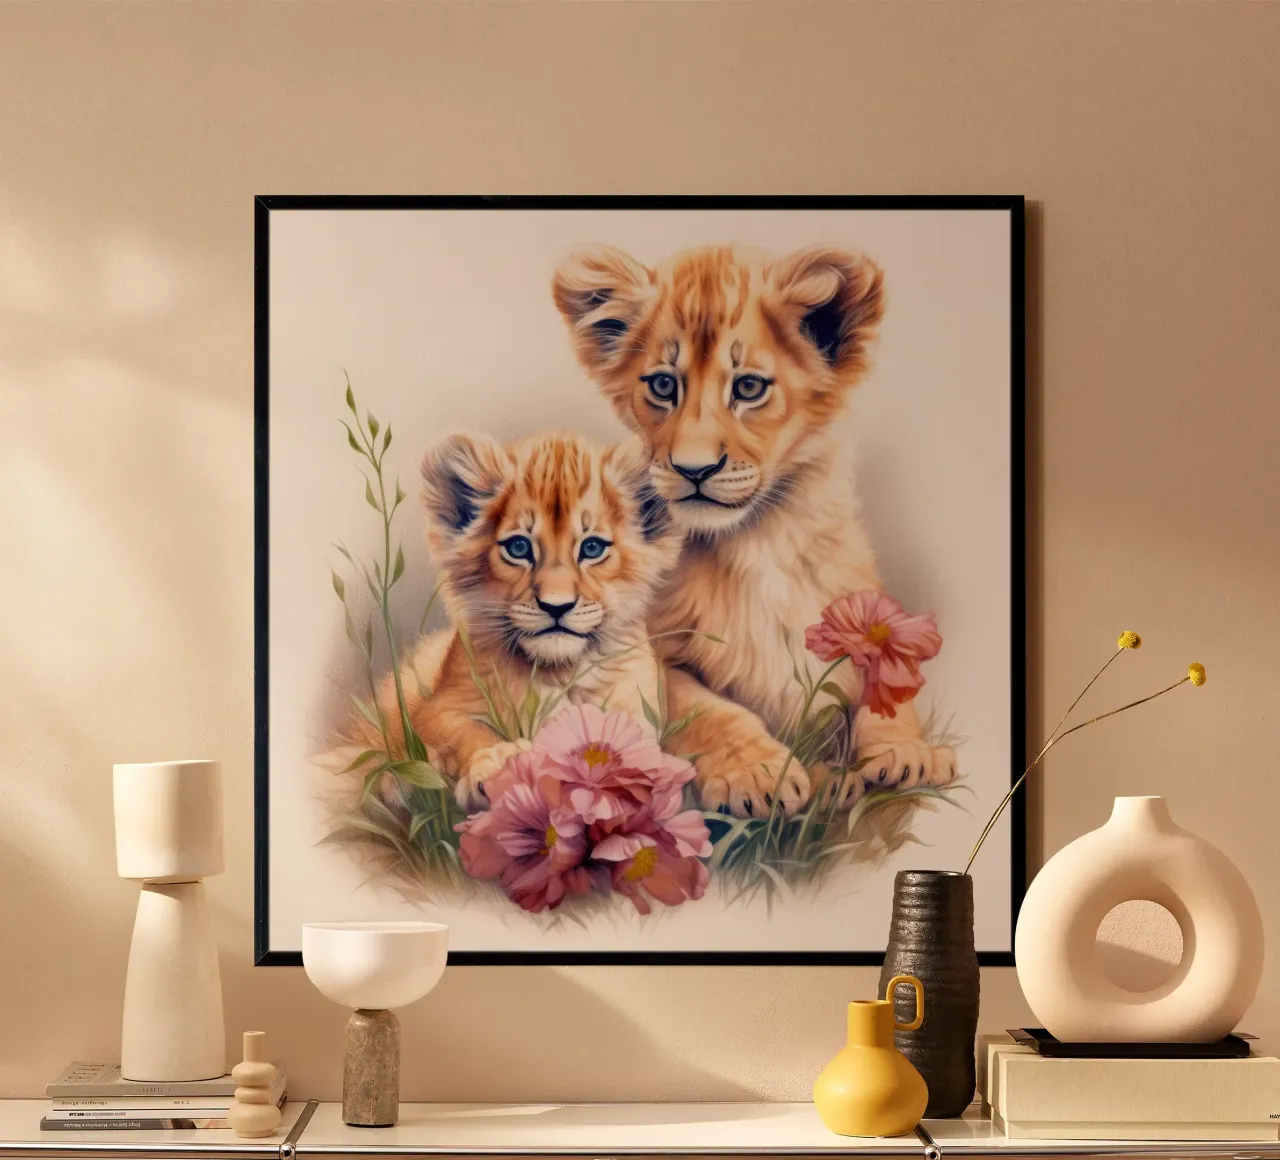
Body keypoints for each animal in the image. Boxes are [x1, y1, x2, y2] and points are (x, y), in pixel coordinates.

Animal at [551, 243, 958, 814]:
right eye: (663, 385)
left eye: (748, 387)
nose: (694, 469)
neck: (759, 540)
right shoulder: (643, 650)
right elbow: (705, 706)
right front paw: (758, 774)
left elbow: (890, 686)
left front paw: (905, 754)